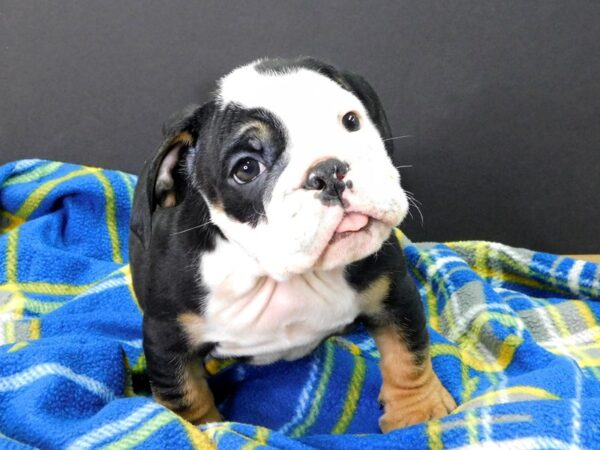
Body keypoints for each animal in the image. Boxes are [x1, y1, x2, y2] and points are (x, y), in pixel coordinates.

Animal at [130, 57, 454, 432]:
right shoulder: (166, 337)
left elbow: (407, 349)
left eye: (351, 121)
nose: (328, 171)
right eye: (246, 168)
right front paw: (205, 430)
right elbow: (186, 396)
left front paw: (418, 411)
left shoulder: (393, 290)